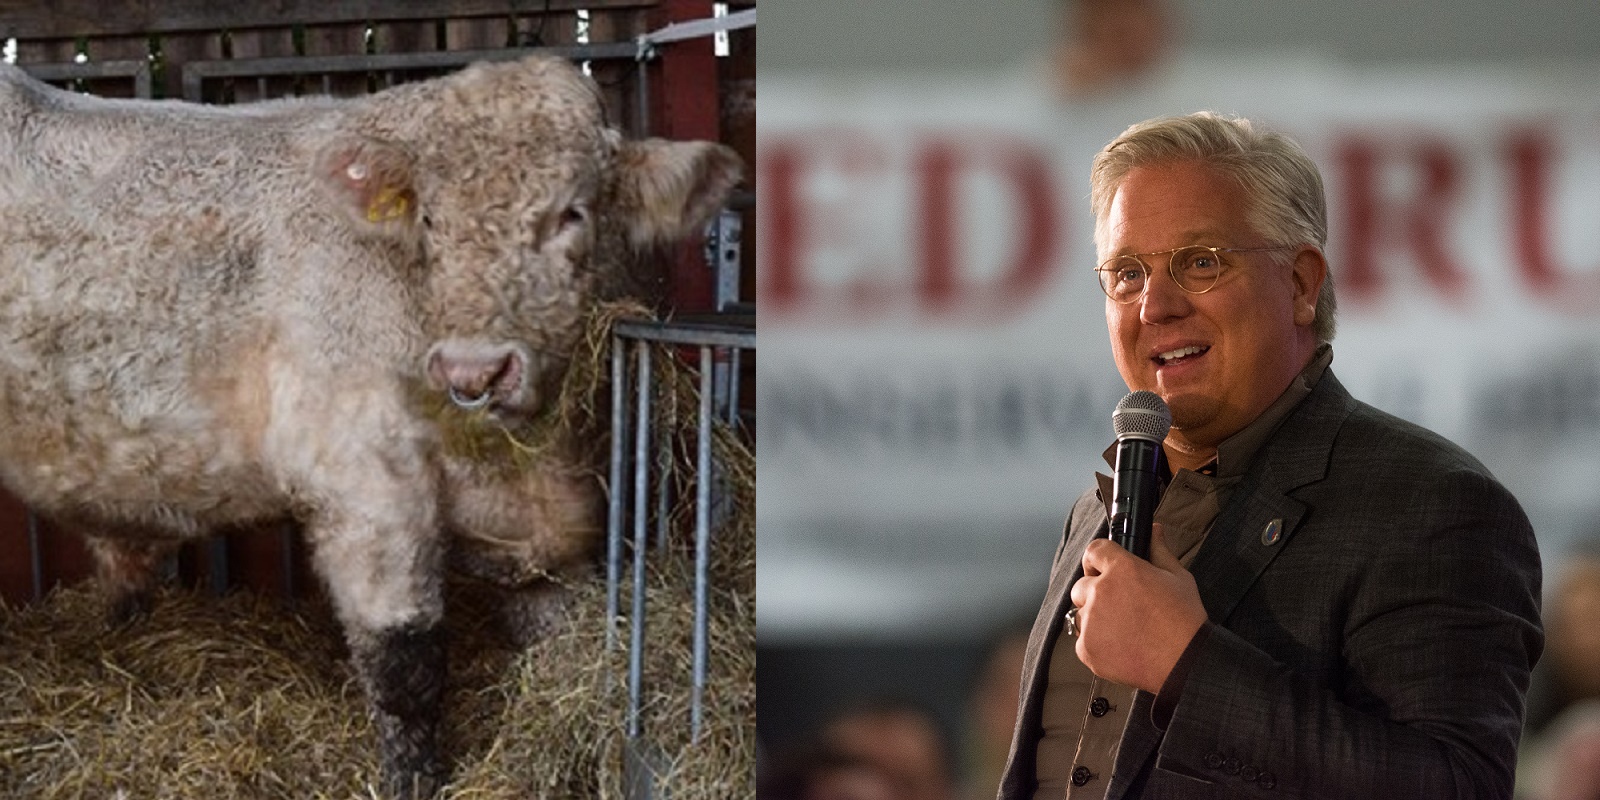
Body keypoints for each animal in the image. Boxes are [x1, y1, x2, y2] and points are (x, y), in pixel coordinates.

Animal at [0, 55, 741, 798]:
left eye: (572, 213)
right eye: (431, 221)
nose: (475, 371)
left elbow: (558, 643)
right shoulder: (367, 484)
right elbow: (404, 667)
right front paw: (413, 778)